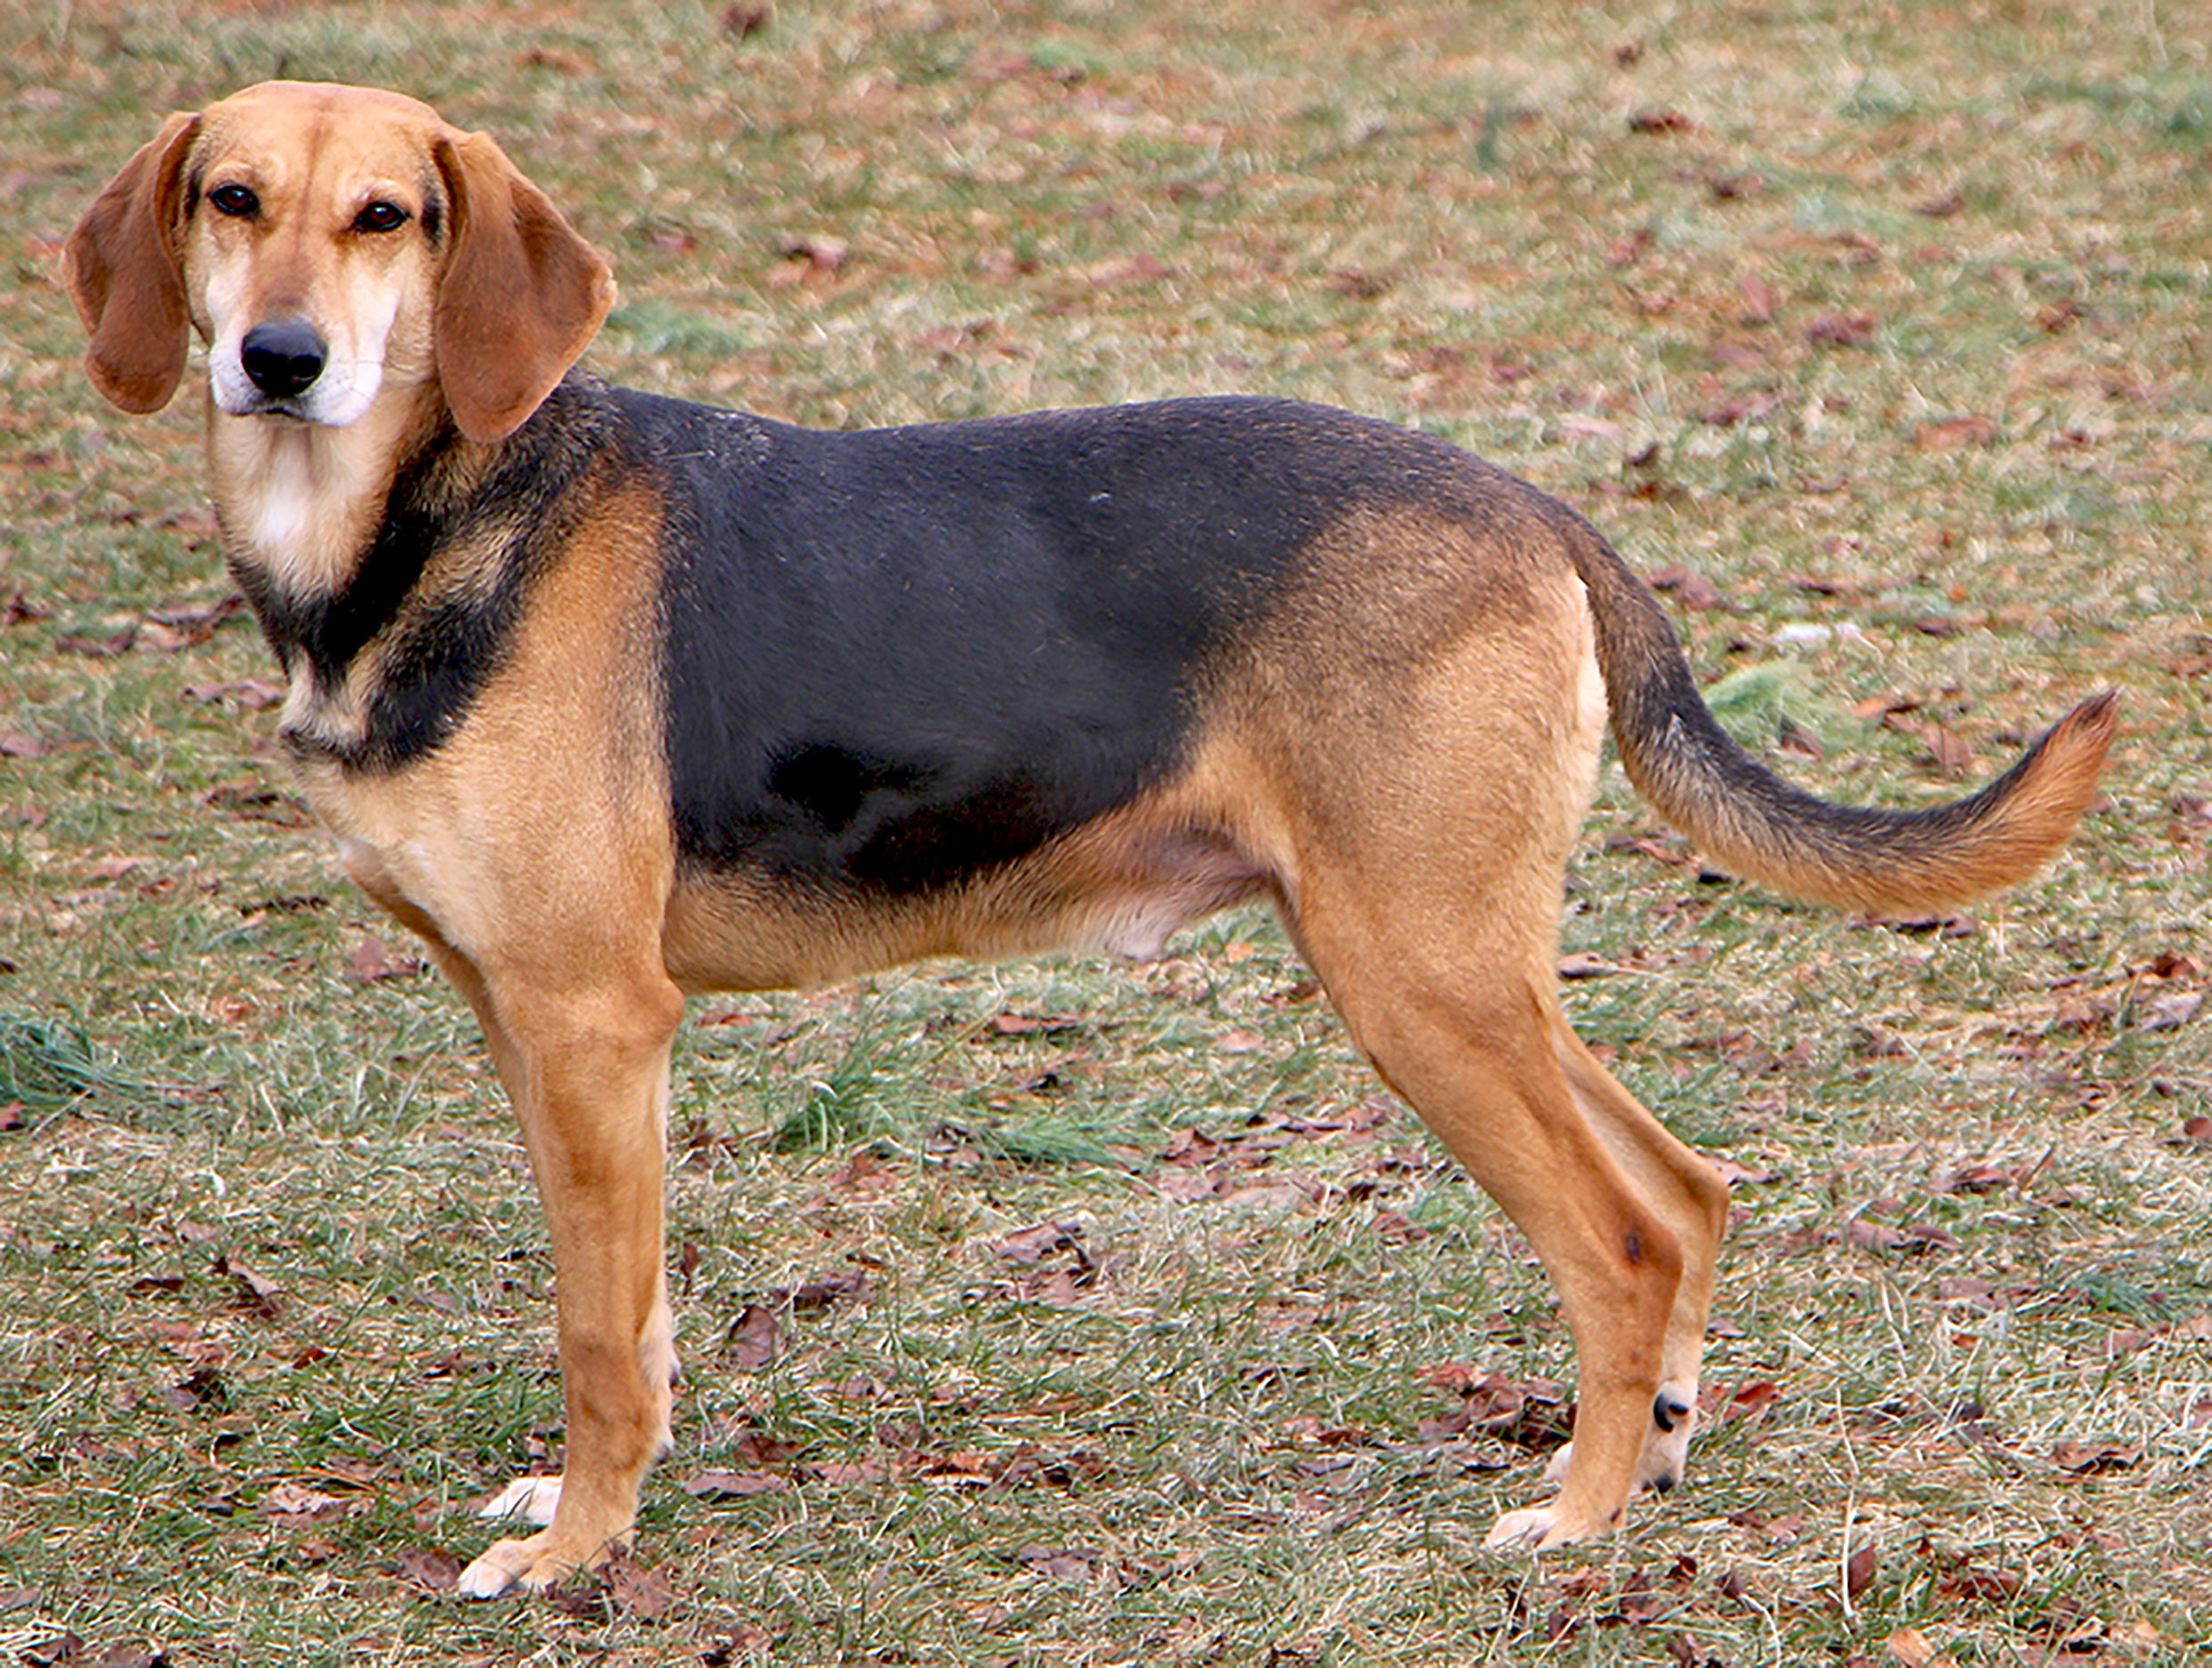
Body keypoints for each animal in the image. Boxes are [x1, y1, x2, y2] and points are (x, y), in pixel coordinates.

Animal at [60, 84, 2114, 1592]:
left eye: (387, 217)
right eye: (232, 200)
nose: (279, 358)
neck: (419, 523)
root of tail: (1531, 506)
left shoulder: (590, 1019)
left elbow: (592, 1334)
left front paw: (578, 1555)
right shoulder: (521, 1019)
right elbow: (629, 1311)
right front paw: (584, 1505)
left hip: (1412, 980)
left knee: (1614, 1236)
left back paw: (1576, 1517)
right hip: (1468, 969)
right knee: (1683, 1195)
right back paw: (1659, 1455)